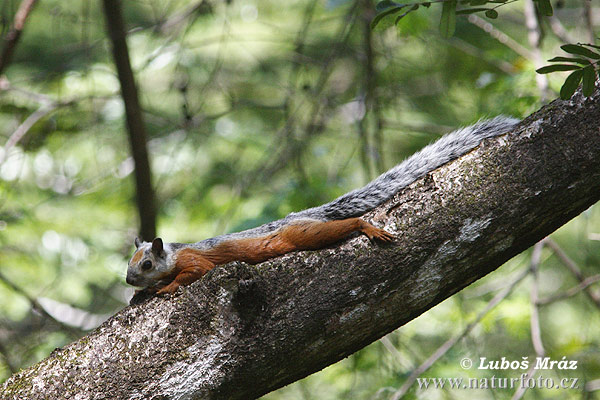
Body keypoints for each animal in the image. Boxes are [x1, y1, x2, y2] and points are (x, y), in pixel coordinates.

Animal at [125, 115, 516, 294]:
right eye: (128, 264)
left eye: (146, 264)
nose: (130, 280)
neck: (174, 252)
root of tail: (303, 215)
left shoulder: (195, 260)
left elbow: (193, 273)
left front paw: (165, 288)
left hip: (302, 234)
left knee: (339, 228)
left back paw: (364, 226)